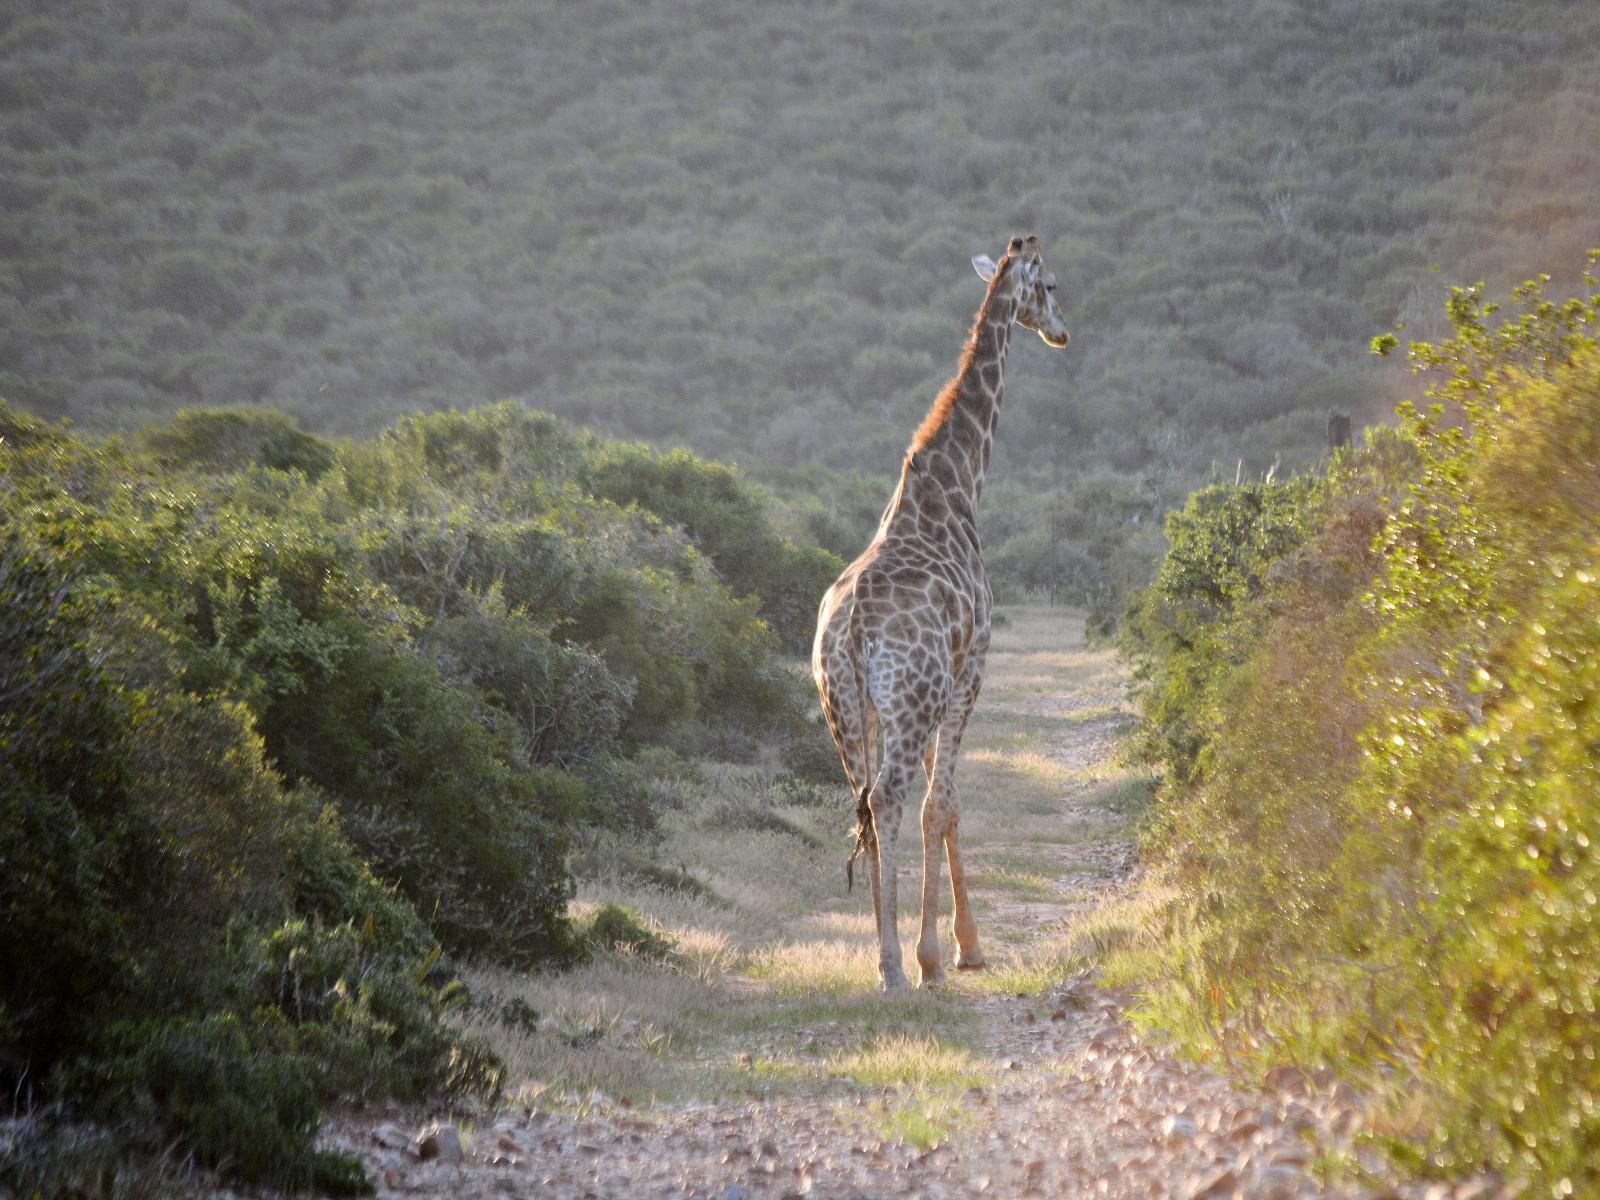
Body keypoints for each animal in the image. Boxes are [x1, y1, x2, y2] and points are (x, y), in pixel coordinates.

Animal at [819, 235, 1068, 998]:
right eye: (1050, 285)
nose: (1062, 332)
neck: (958, 482)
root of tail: (851, 630)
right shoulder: (971, 668)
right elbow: (943, 803)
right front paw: (944, 952)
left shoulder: (939, 688)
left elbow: (947, 805)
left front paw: (967, 944)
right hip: (908, 698)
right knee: (894, 799)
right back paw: (898, 968)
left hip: (845, 705)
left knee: (866, 802)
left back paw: (885, 957)